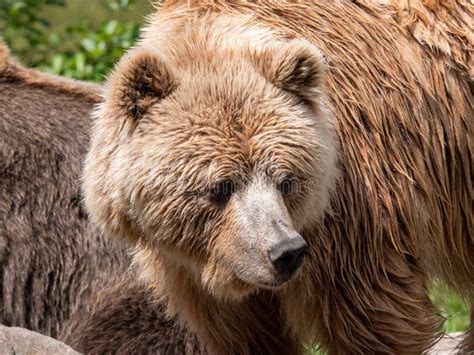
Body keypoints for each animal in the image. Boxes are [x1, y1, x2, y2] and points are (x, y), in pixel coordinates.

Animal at [83, 1, 472, 354]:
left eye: (286, 180)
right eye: (221, 186)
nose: (286, 251)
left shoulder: (354, 215)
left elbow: (372, 319)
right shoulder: (202, 273)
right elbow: (249, 335)